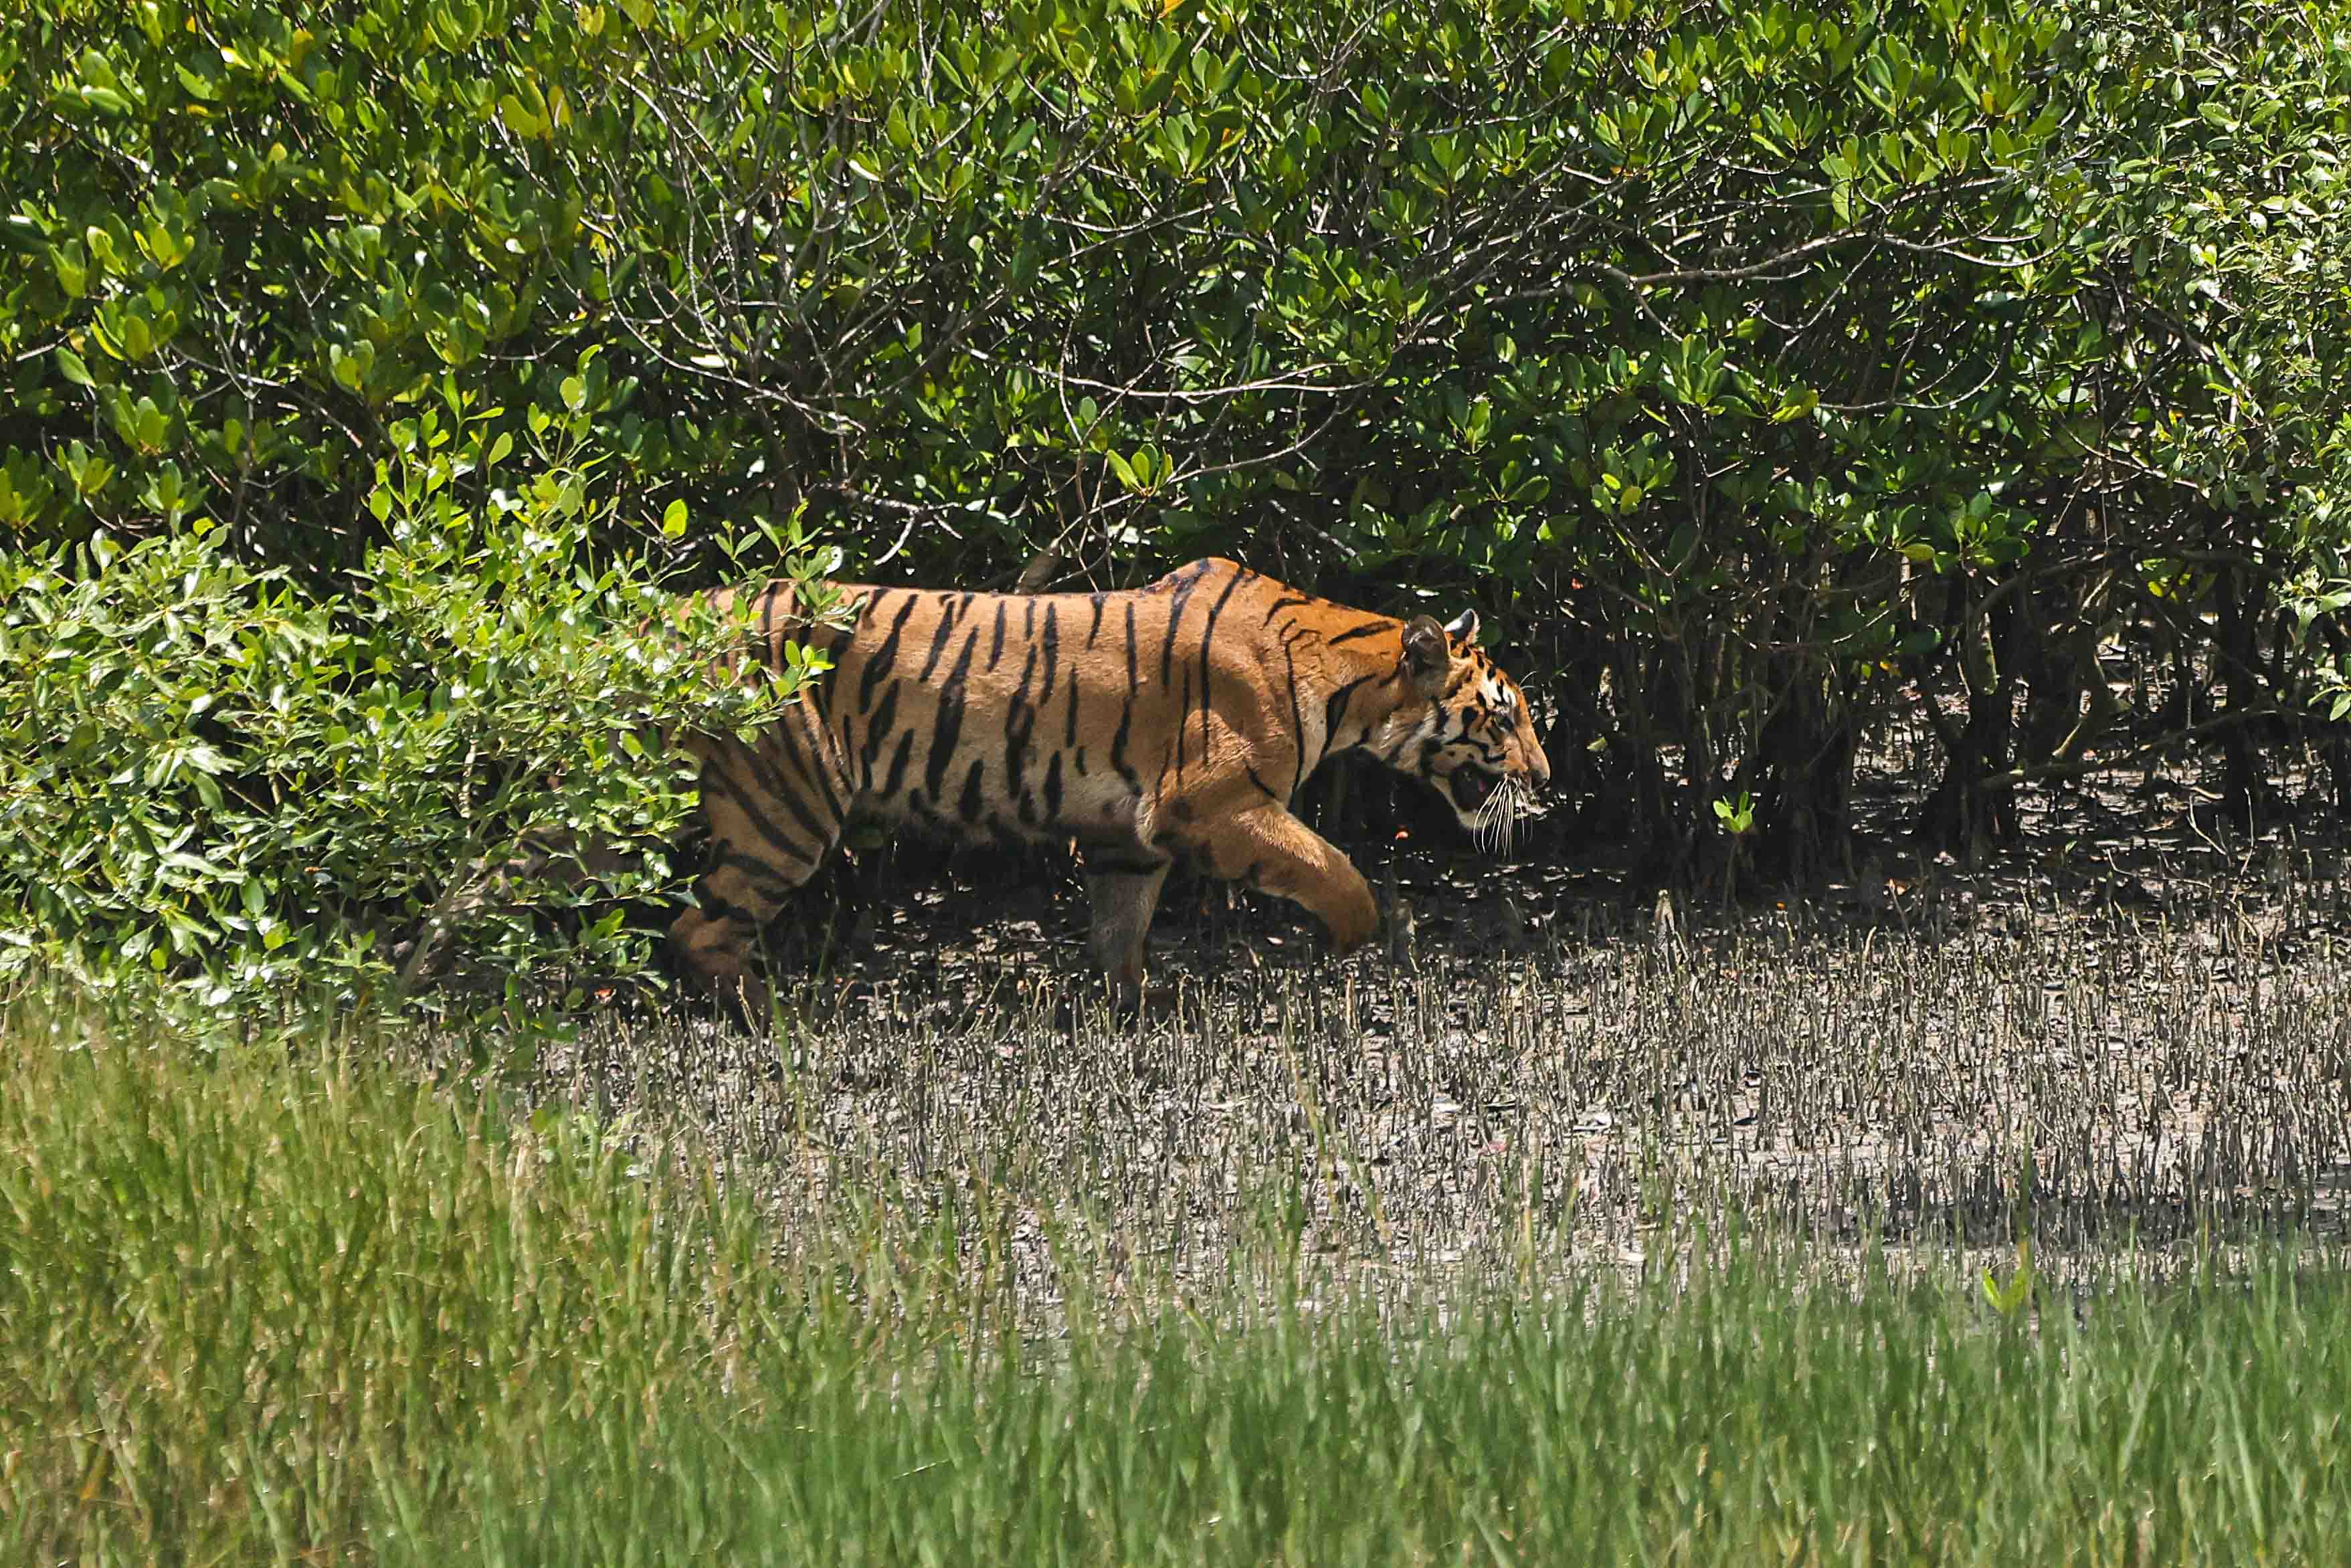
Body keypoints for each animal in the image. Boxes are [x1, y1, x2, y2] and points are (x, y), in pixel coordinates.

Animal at [670, 556, 1551, 1014]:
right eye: (1505, 717)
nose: (1545, 779)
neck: (1349, 681)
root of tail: (682, 611)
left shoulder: (1129, 834)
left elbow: (1120, 926)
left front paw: (1136, 1005)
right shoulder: (1215, 802)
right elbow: (1333, 868)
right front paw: (1349, 939)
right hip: (782, 807)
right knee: (698, 931)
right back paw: (777, 1013)